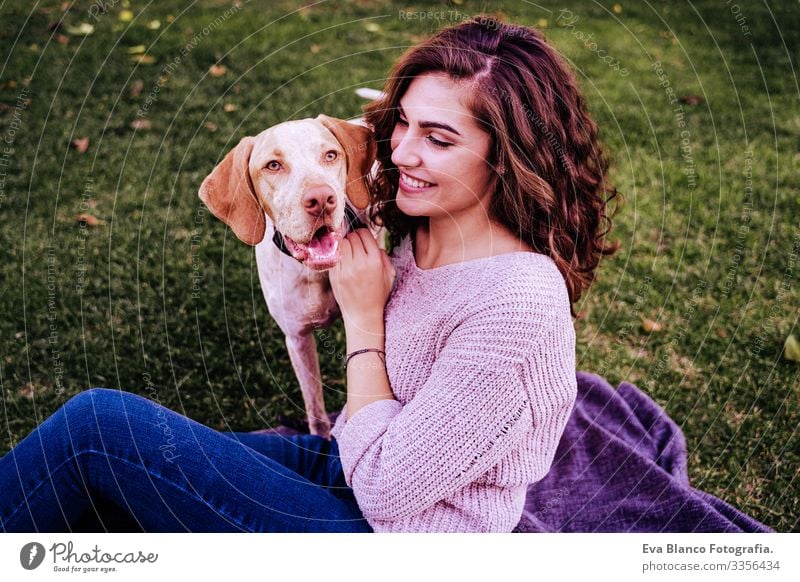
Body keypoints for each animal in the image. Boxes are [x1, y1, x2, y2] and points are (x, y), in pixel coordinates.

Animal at [197, 116, 378, 440]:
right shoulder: (297, 338)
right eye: (273, 165)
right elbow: (315, 410)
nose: (322, 199)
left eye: (330, 155)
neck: (315, 273)